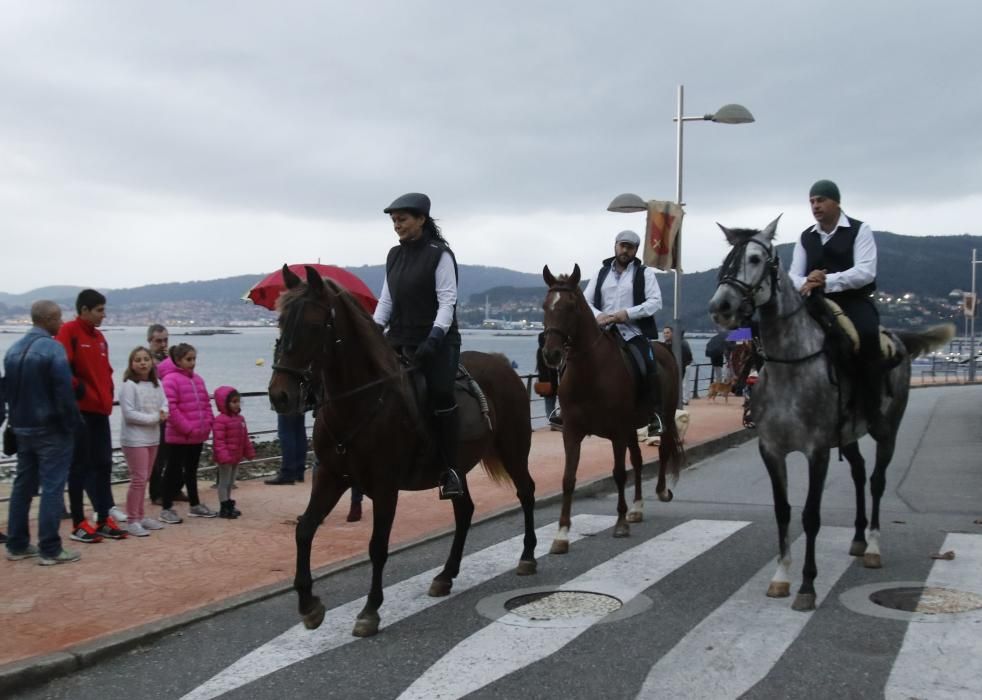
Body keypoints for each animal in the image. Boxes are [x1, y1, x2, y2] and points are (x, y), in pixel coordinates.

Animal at [268, 266, 540, 636]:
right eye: (281, 321)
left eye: (313, 324)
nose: (279, 395)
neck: (359, 401)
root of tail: (503, 365)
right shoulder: (330, 476)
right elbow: (304, 529)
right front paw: (309, 604)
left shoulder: (385, 487)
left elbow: (378, 546)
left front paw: (370, 610)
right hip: (458, 467)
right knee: (465, 510)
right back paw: (446, 575)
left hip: (513, 447)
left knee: (526, 492)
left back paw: (527, 556)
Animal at [540, 266, 684, 556]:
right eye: (545, 306)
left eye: (571, 306)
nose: (551, 354)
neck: (589, 371)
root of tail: (664, 349)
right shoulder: (572, 432)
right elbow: (568, 479)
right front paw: (562, 535)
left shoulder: (617, 432)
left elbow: (618, 473)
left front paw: (619, 524)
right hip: (631, 428)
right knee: (638, 461)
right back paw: (637, 508)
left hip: (661, 417)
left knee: (663, 451)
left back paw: (661, 492)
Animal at [712, 219, 956, 612]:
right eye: (726, 259)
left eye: (754, 258)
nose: (721, 305)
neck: (791, 365)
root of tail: (897, 339)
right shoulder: (772, 450)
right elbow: (783, 510)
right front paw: (781, 577)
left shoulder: (817, 451)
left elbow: (811, 516)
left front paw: (807, 586)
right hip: (848, 435)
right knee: (858, 472)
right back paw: (857, 538)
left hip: (887, 431)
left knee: (876, 480)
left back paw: (872, 546)